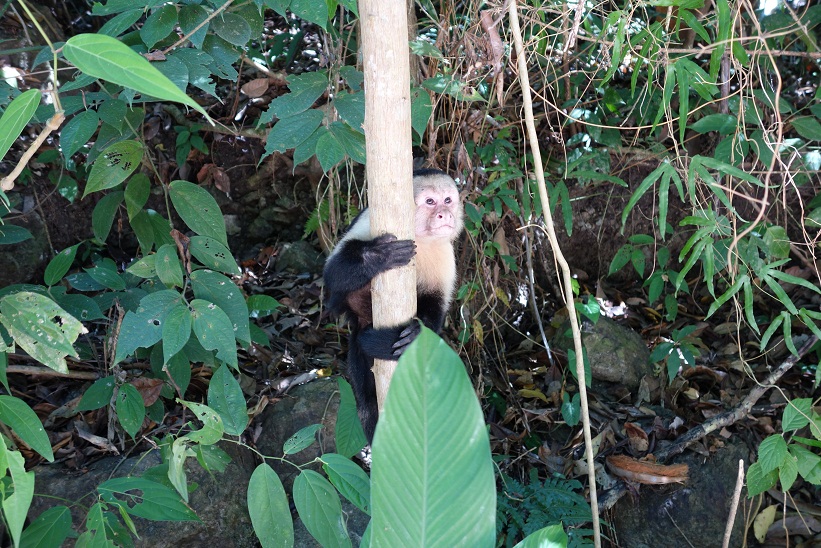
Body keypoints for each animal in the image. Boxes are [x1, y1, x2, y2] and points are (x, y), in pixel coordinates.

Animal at [320, 168, 462, 440]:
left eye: (448, 200)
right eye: (430, 202)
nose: (445, 214)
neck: (421, 237)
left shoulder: (445, 252)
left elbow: (436, 306)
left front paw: (415, 333)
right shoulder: (367, 221)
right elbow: (333, 275)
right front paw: (378, 256)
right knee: (367, 397)